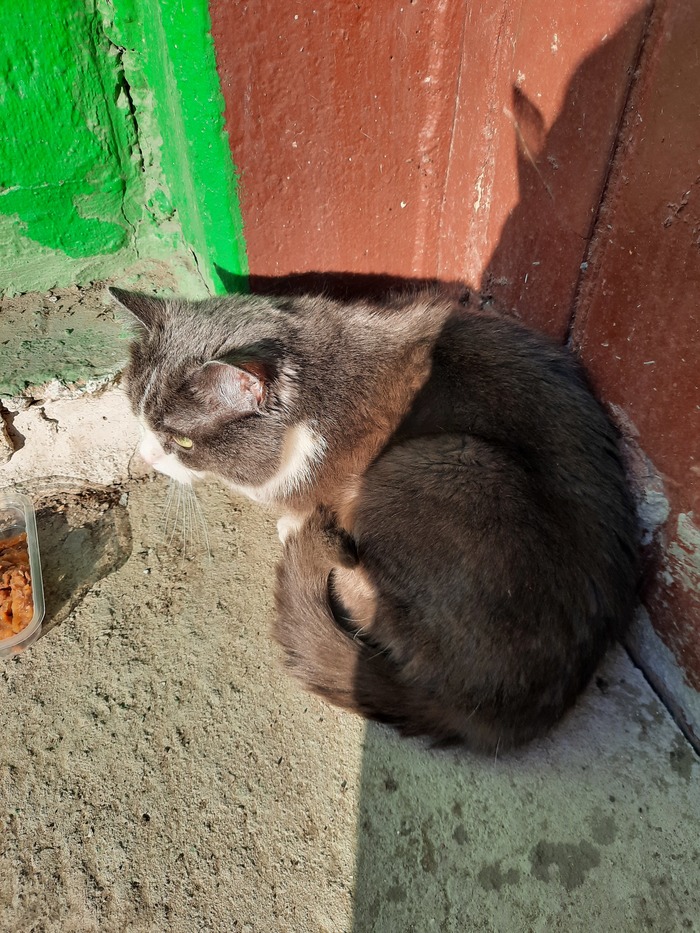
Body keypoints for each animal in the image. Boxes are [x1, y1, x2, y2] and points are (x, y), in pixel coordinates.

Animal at [111, 285, 639, 753]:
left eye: (181, 442)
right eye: (136, 413)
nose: (144, 458)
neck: (314, 407)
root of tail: (495, 714)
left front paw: (292, 521)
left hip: (445, 464)